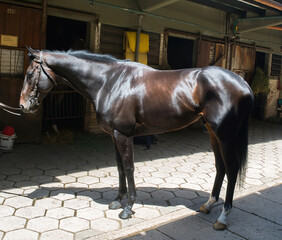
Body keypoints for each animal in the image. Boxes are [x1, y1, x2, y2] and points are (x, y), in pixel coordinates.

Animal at [19, 47, 253, 231]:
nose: (23, 106)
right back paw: (208, 204)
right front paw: (117, 201)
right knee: (220, 167)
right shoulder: (113, 135)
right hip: (213, 133)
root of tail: (242, 83)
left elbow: (129, 167)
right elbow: (120, 168)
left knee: (232, 169)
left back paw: (223, 217)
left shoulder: (124, 134)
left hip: (225, 135)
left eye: (30, 74)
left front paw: (128, 207)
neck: (109, 82)